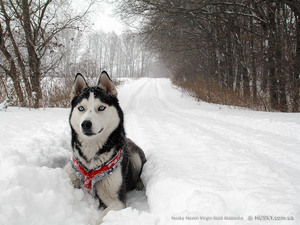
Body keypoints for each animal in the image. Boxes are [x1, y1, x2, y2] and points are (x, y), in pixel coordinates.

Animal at [64, 71, 146, 223]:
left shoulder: (117, 201)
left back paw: (139, 184)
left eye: (101, 107)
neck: (91, 159)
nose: (85, 124)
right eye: (81, 108)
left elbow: (102, 217)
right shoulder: (71, 174)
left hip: (136, 157)